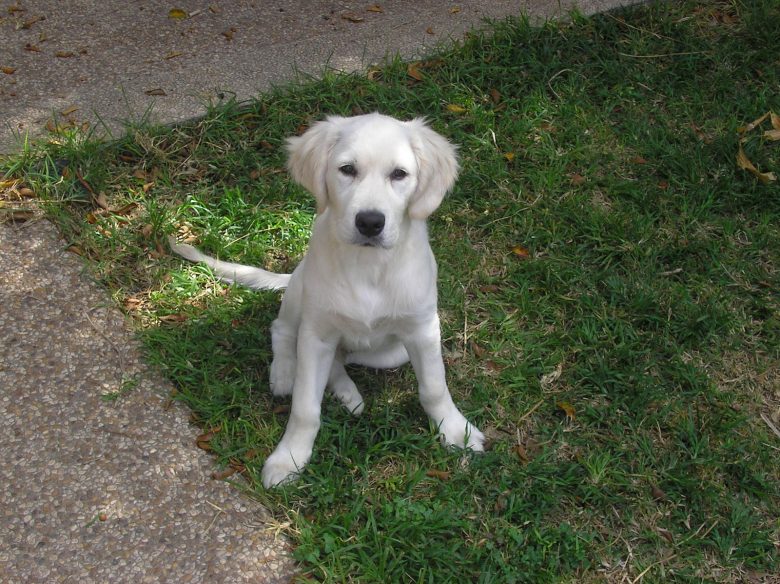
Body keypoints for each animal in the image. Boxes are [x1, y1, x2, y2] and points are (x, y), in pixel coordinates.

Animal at [172, 112, 482, 486]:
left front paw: (457, 431)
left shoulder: (423, 330)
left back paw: (348, 394)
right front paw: (289, 458)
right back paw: (285, 372)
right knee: (282, 330)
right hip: (300, 295)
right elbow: (305, 407)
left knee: (340, 359)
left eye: (399, 174)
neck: (368, 266)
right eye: (347, 169)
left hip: (392, 352)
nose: (369, 222)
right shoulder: (316, 334)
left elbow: (434, 388)